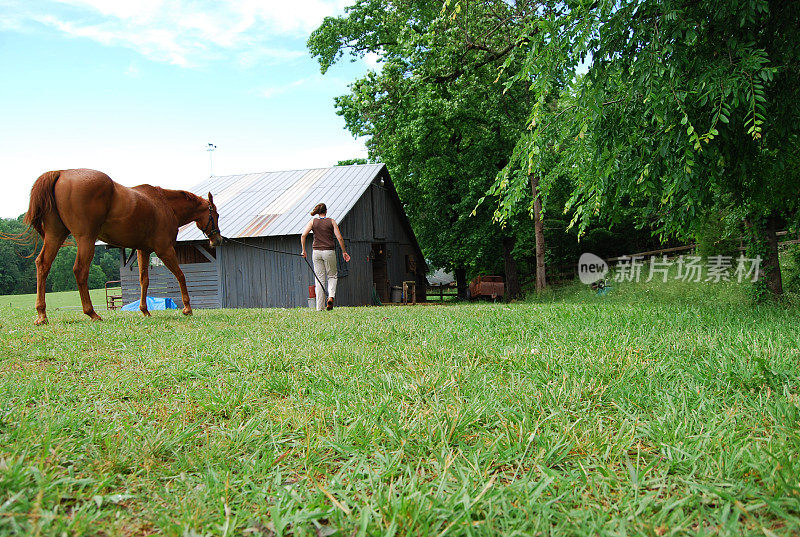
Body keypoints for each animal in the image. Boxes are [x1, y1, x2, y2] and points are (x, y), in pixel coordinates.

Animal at [25, 170, 222, 324]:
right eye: (217, 215)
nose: (218, 239)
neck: (164, 204)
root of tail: (62, 173)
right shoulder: (165, 249)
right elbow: (180, 275)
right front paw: (187, 308)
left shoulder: (143, 250)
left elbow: (144, 280)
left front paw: (144, 310)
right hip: (85, 239)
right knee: (80, 270)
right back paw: (91, 313)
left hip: (55, 235)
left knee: (43, 264)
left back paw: (42, 314)